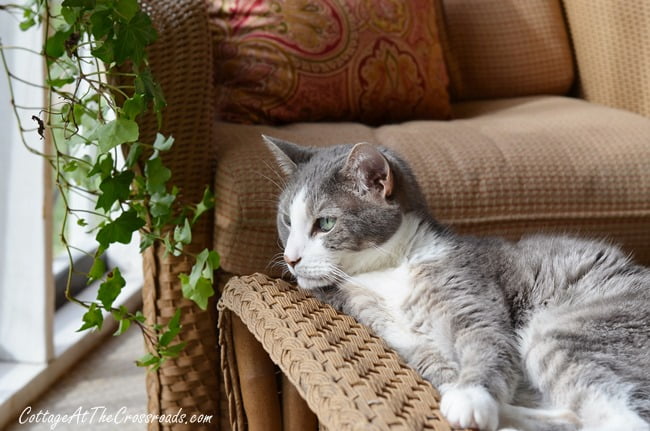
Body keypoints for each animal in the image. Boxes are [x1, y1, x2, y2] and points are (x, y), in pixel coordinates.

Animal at [262, 135, 648, 431]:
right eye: (286, 220)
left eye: (325, 223)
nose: (291, 258)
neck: (390, 271)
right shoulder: (401, 337)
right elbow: (439, 369)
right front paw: (458, 393)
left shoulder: (468, 294)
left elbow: (487, 344)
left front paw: (471, 397)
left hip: (564, 332)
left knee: (619, 420)